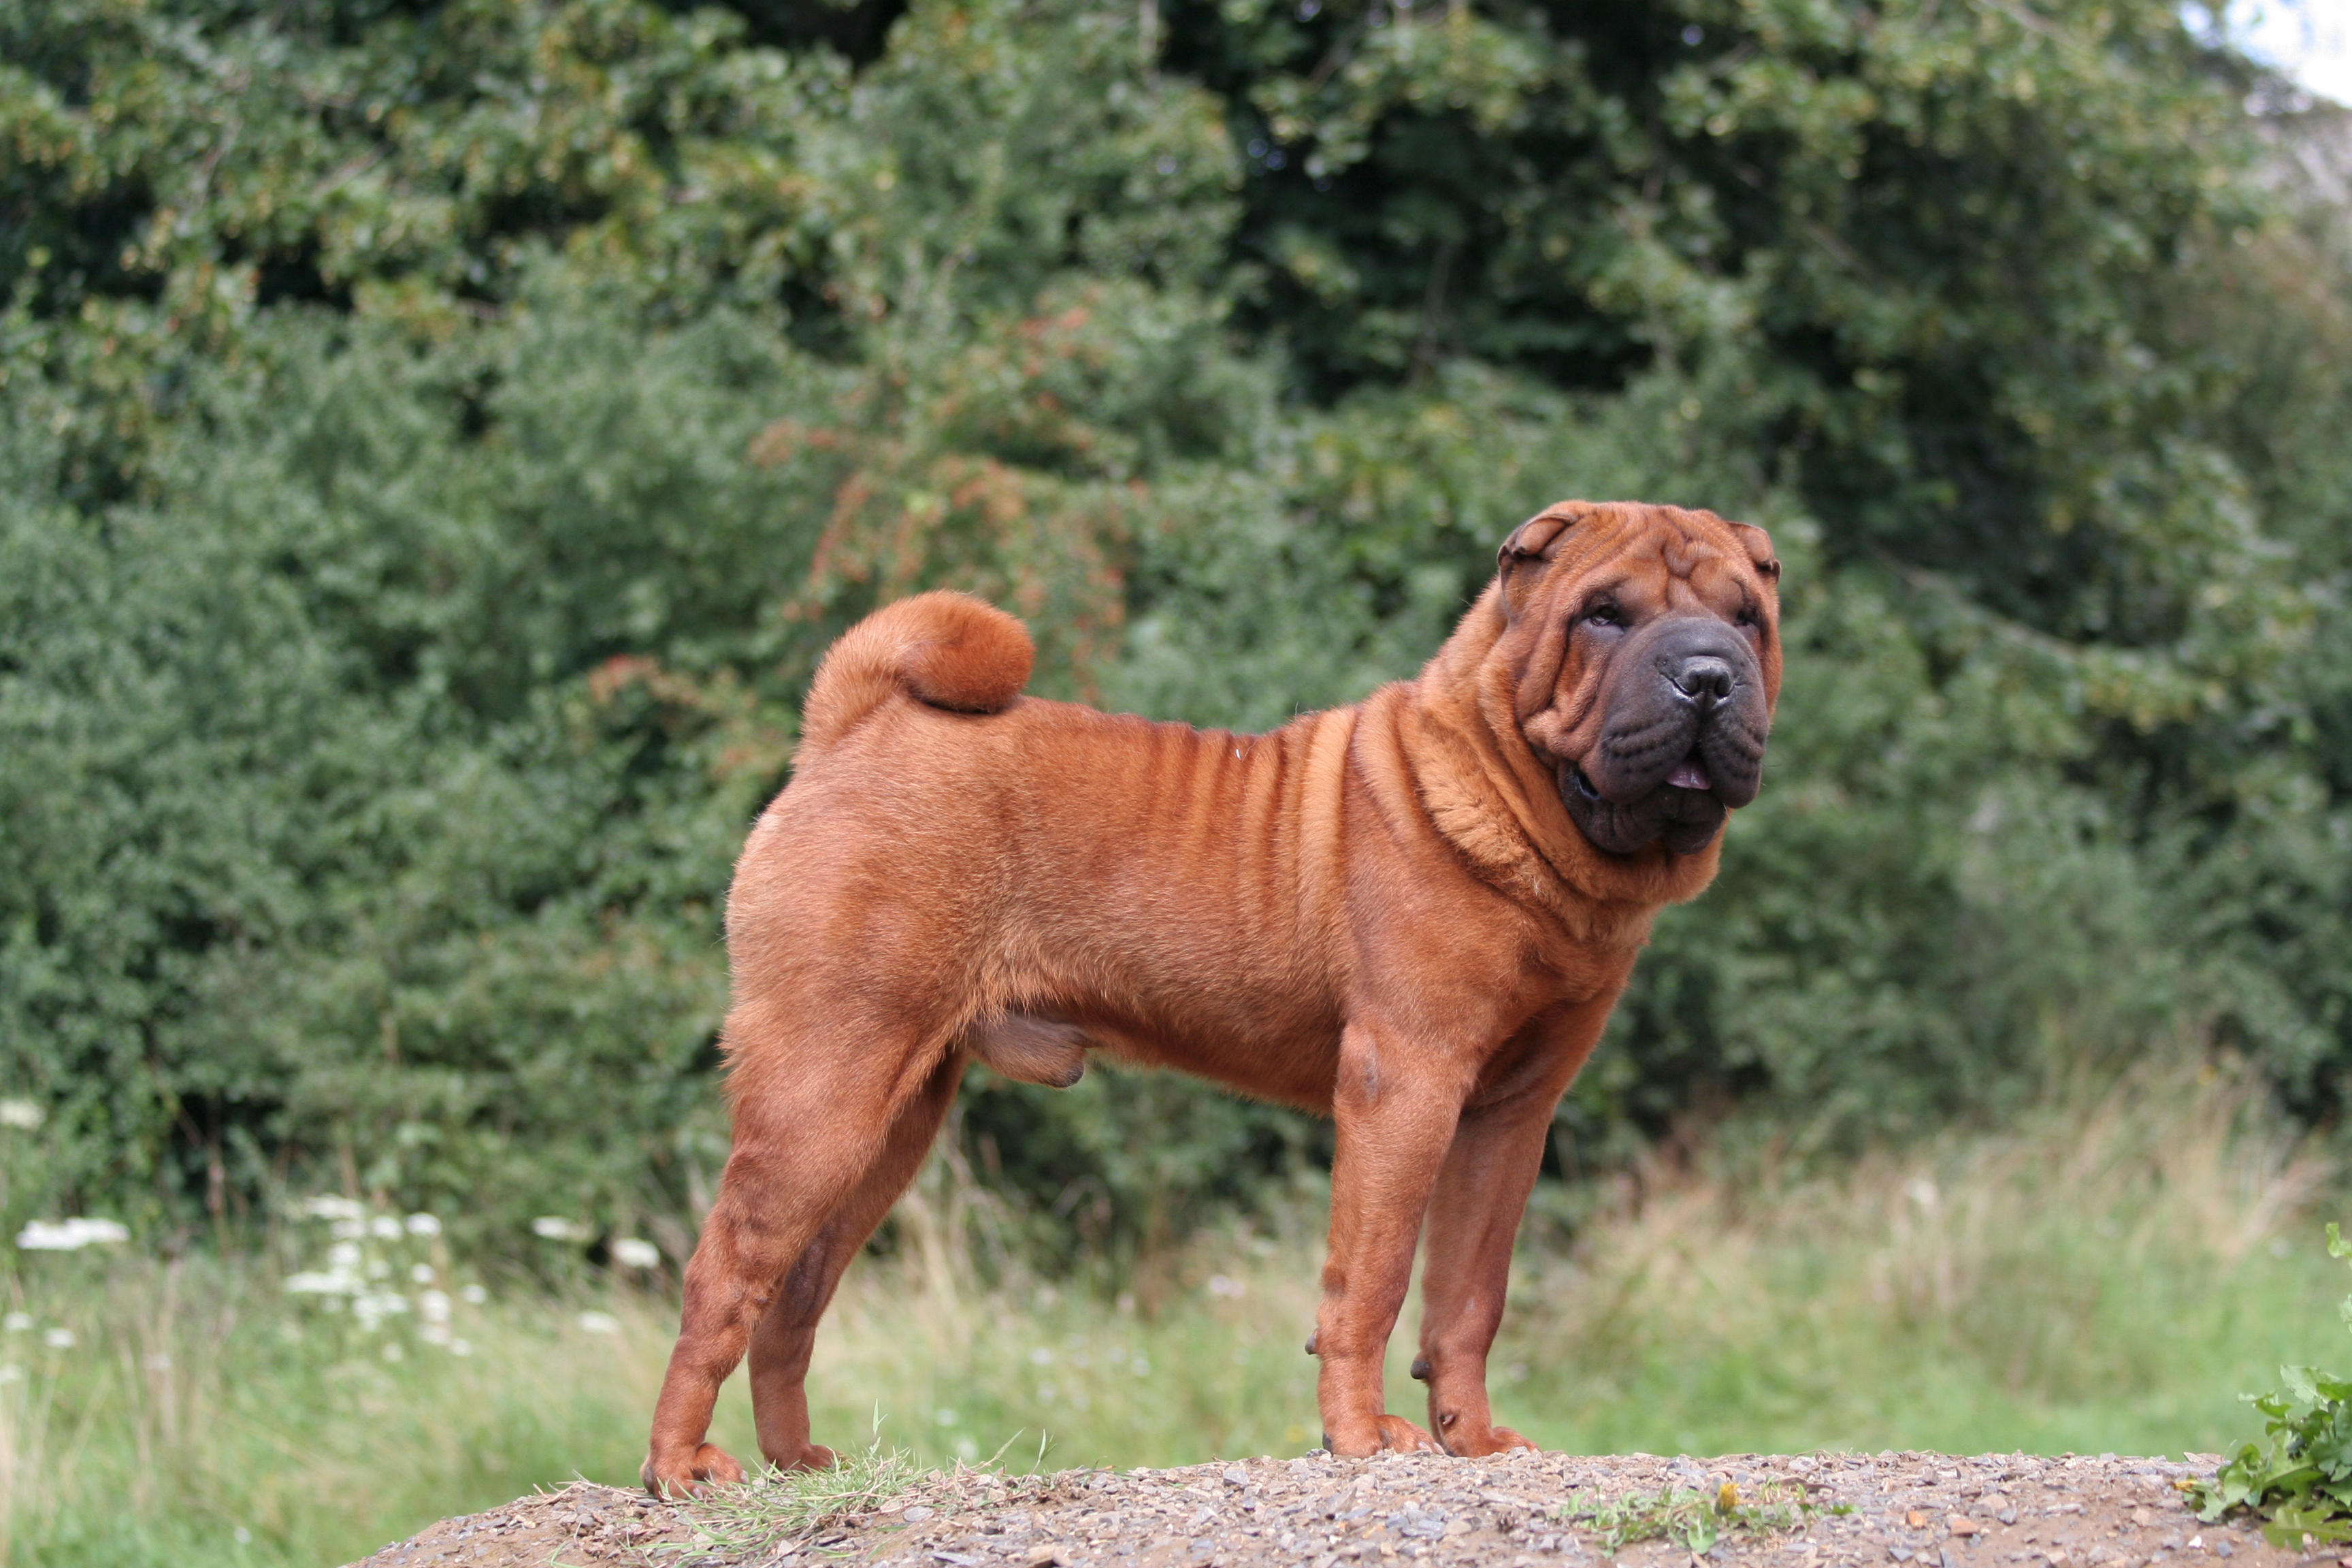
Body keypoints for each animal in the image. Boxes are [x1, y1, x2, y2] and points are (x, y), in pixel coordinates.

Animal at [644, 503, 1778, 1494]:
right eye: (1605, 615)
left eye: (1748, 618)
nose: (1708, 676)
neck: (1518, 804)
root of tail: (854, 725)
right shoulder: (1406, 1083)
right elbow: (1370, 1278)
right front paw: (1362, 1437)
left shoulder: (1509, 1112)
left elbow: (1469, 1292)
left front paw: (1475, 1440)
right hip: (827, 1085)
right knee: (721, 1274)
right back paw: (679, 1468)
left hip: (892, 1116)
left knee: (793, 1295)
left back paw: (797, 1463)